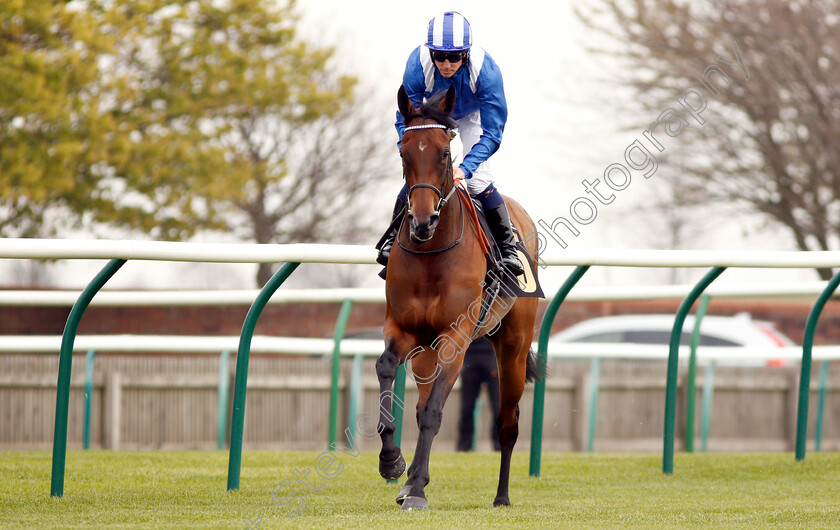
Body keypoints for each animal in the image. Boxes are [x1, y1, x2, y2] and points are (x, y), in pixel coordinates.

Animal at [378, 83, 540, 508]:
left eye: (444, 153)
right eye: (404, 152)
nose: (422, 221)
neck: (432, 254)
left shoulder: (457, 336)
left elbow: (435, 412)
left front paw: (417, 489)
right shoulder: (402, 328)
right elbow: (387, 370)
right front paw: (392, 462)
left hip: (513, 349)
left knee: (507, 423)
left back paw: (502, 497)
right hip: (426, 352)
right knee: (419, 404)